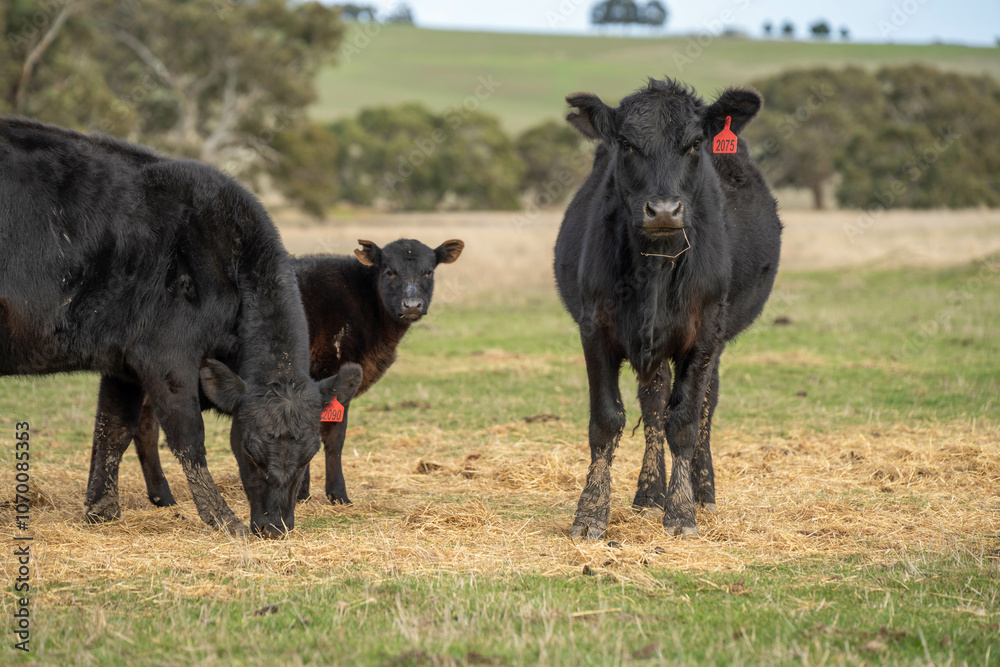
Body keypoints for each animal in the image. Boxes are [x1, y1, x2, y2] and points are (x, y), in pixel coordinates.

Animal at [0, 117, 361, 538]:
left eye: (309, 455)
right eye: (250, 451)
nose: (275, 526)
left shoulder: (122, 362)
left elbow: (112, 430)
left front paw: (101, 510)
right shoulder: (167, 356)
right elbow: (188, 435)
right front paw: (222, 517)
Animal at [88, 238, 463, 510]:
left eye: (429, 272)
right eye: (389, 271)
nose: (412, 306)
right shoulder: (329, 375)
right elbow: (334, 438)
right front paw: (333, 494)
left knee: (144, 430)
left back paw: (160, 497)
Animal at [553, 78, 782, 539]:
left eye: (694, 144)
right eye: (626, 143)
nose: (663, 210)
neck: (656, 267)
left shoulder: (706, 332)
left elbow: (685, 422)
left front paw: (680, 511)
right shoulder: (595, 327)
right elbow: (608, 421)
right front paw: (591, 513)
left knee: (704, 404)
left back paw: (702, 493)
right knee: (654, 402)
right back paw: (648, 494)